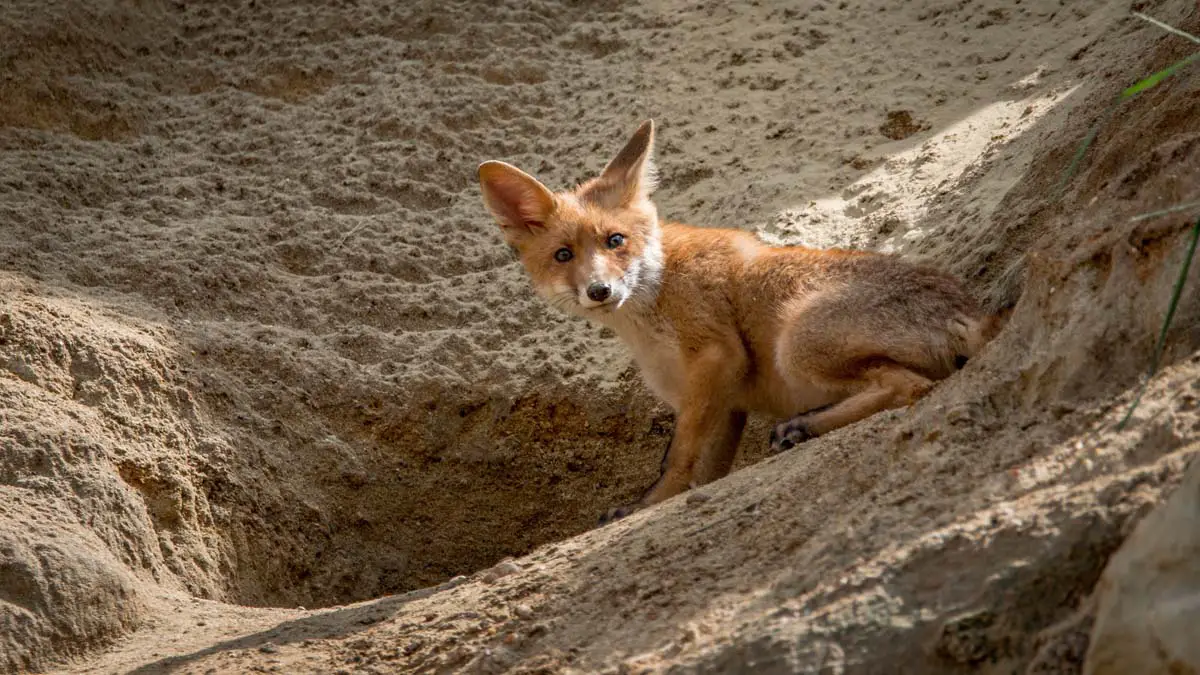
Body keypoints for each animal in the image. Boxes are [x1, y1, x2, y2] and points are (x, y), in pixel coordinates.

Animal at [477, 120, 998, 522]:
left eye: (615, 241)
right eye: (563, 255)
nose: (600, 291)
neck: (656, 302)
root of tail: (971, 309)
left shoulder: (716, 357)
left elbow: (678, 458)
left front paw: (648, 506)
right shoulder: (725, 403)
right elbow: (704, 470)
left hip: (796, 345)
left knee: (910, 386)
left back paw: (805, 425)